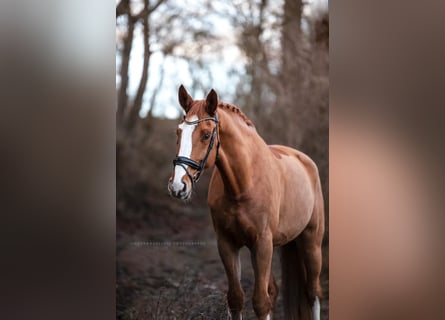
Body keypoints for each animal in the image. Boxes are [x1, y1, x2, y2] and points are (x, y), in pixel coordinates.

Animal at [168, 85, 324, 320]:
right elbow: (236, 298)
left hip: (311, 242)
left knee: (312, 292)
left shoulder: (262, 244)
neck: (243, 184)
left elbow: (260, 302)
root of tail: (305, 161)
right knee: (274, 291)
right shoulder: (227, 244)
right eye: (178, 132)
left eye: (206, 135)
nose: (178, 186)